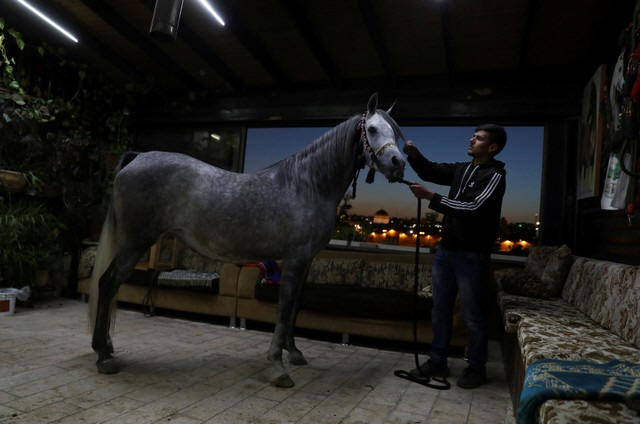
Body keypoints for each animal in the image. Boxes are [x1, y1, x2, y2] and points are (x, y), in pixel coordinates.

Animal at [88, 93, 406, 387]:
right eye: (372, 129)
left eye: (395, 132)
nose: (398, 163)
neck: (307, 186)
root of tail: (138, 158)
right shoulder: (294, 260)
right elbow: (284, 309)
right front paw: (277, 366)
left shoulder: (305, 262)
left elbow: (295, 308)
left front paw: (294, 352)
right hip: (134, 243)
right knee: (107, 283)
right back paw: (103, 355)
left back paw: (107, 347)